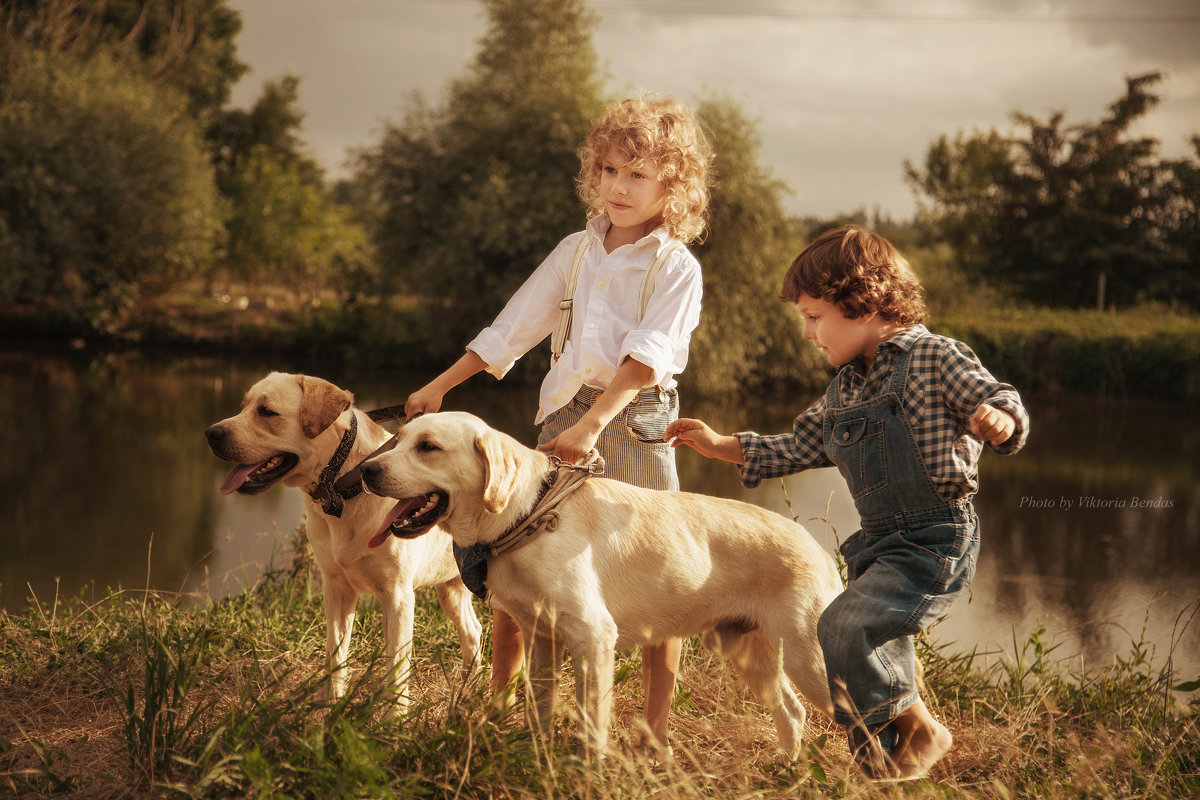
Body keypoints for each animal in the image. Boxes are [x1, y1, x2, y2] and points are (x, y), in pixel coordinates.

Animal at [206, 371, 482, 714]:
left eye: (266, 411)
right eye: (243, 406)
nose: (211, 433)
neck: (344, 486)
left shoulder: (398, 595)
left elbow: (396, 666)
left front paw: (394, 718)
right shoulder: (336, 587)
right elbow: (336, 652)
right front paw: (331, 704)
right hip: (451, 590)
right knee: (474, 632)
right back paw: (471, 692)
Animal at [360, 412, 840, 758]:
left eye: (428, 447)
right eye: (399, 439)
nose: (366, 470)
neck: (528, 516)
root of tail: (815, 545)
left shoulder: (594, 638)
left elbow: (592, 724)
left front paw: (587, 770)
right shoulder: (542, 637)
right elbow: (540, 709)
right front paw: (534, 756)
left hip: (810, 660)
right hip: (747, 652)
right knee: (792, 712)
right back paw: (787, 771)